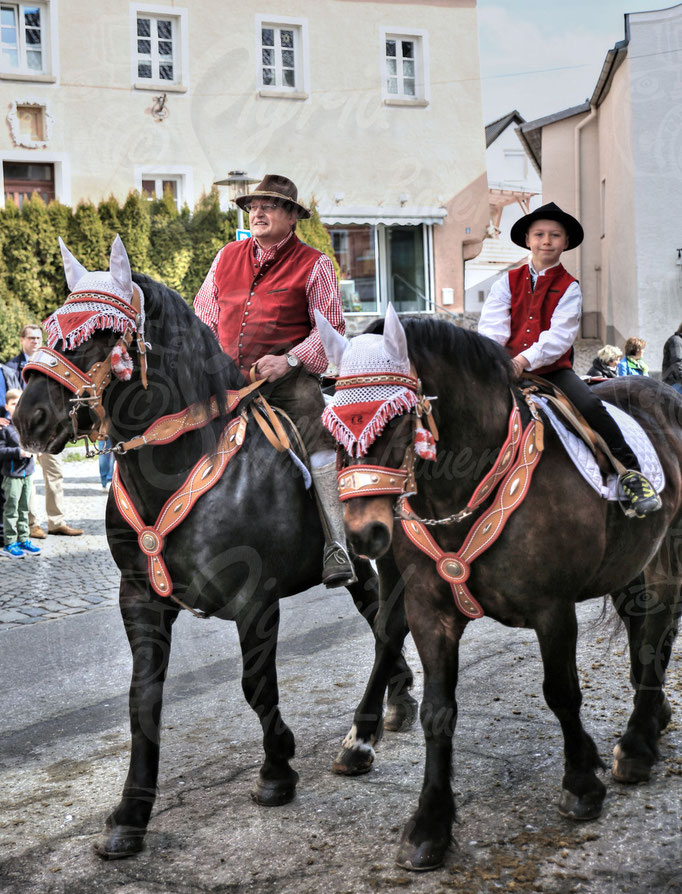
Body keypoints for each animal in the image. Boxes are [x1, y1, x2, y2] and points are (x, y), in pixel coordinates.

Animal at [318, 310, 680, 876]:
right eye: (332, 424)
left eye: (395, 420)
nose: (362, 533)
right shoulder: (429, 610)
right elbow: (437, 710)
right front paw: (430, 824)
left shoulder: (552, 609)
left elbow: (562, 693)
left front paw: (581, 782)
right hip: (631, 562)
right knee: (647, 626)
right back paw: (651, 720)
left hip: (669, 548)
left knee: (660, 617)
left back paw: (639, 742)